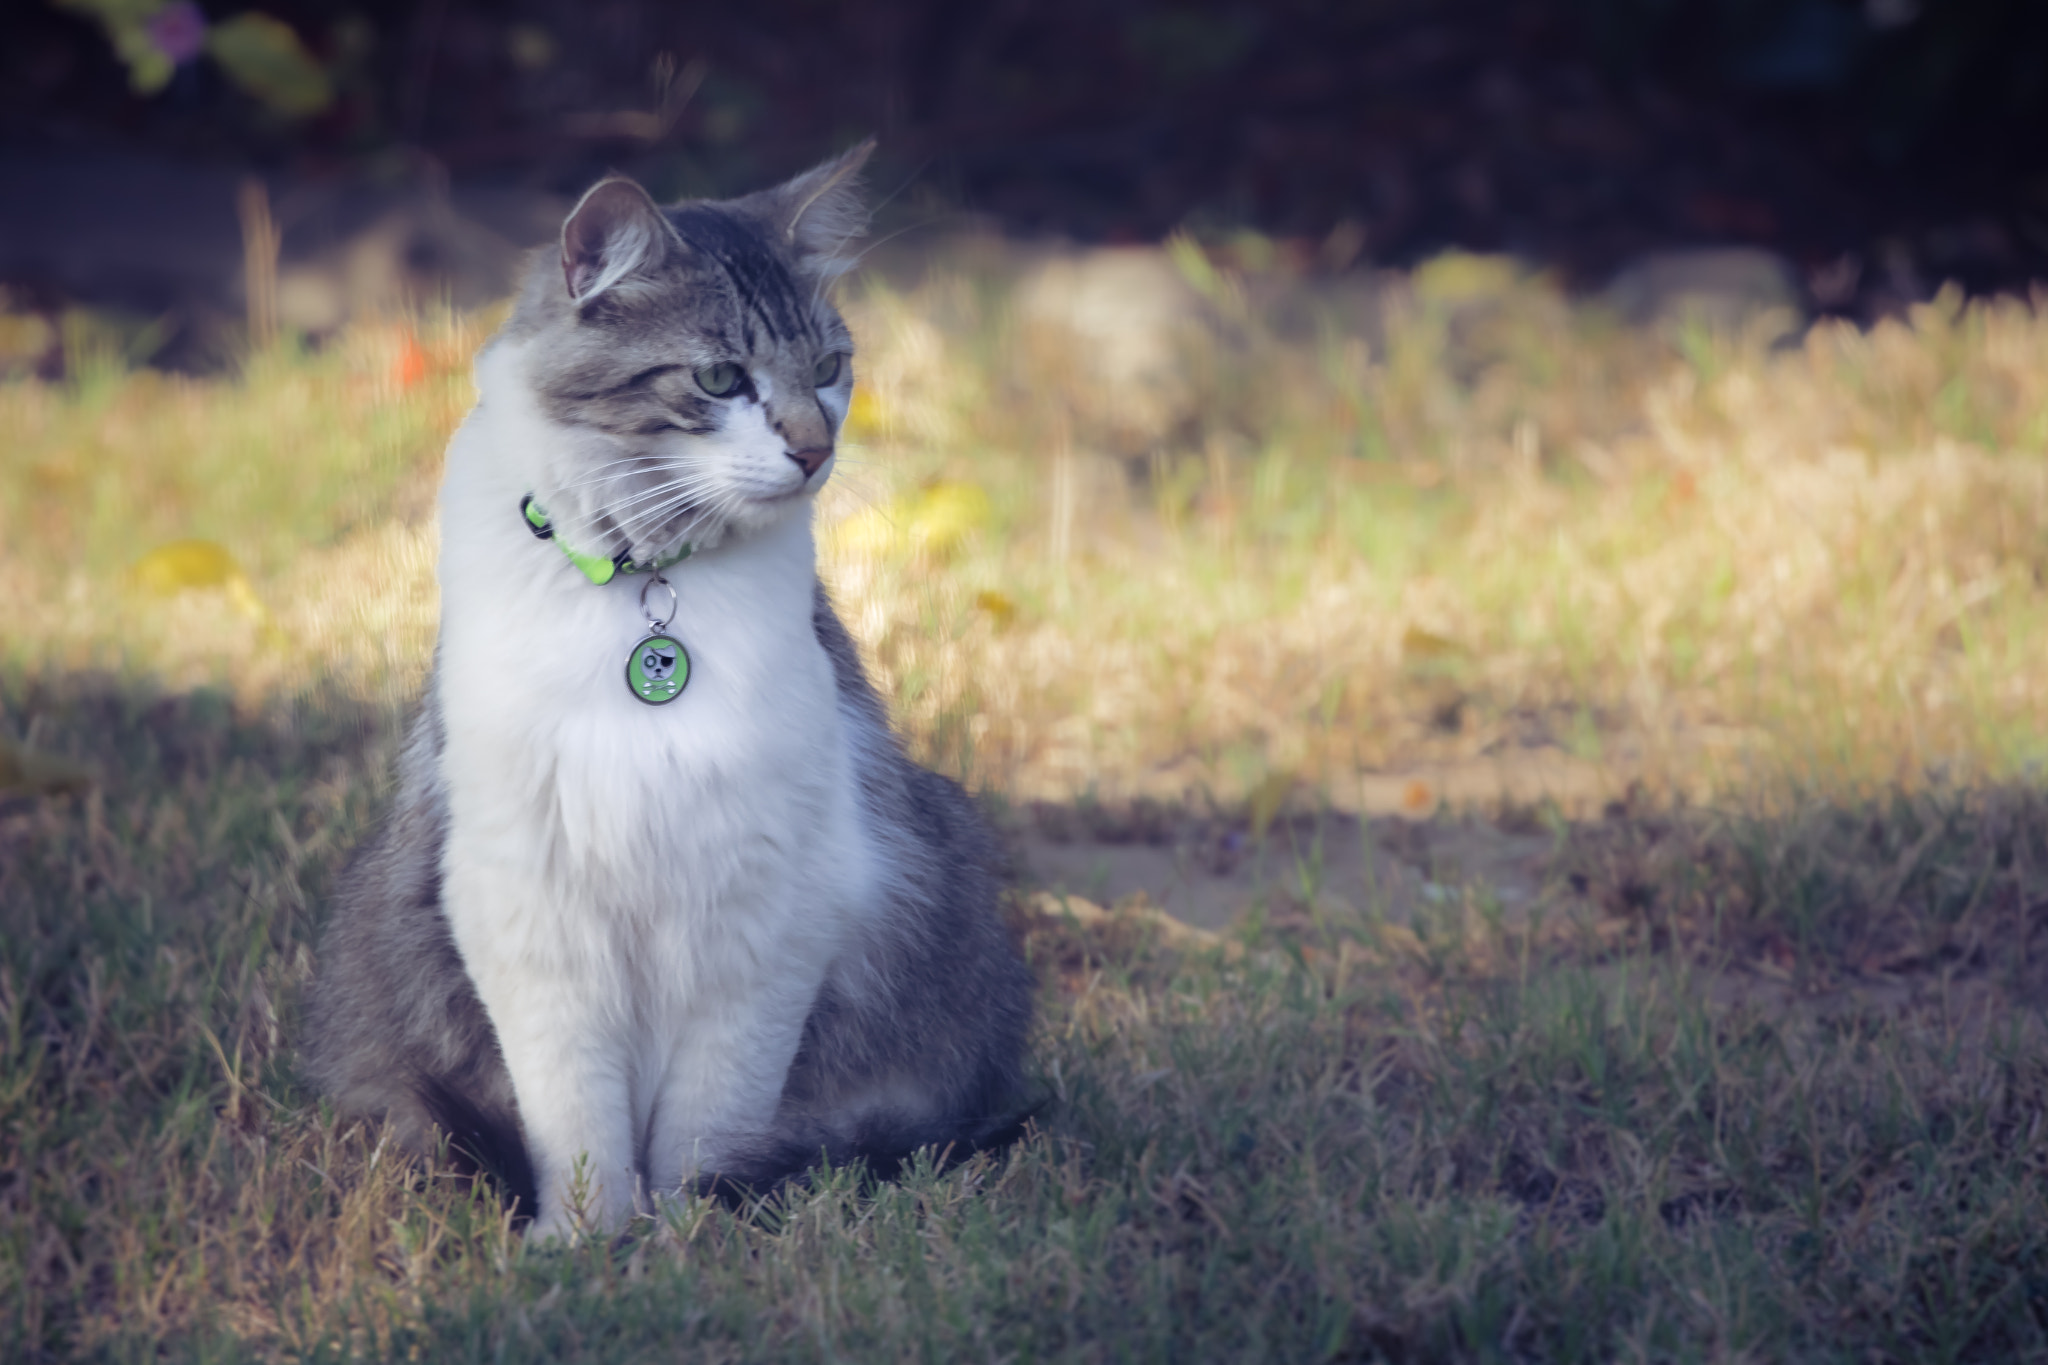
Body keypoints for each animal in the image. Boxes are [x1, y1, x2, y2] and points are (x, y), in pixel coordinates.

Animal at [299, 141, 1040, 1236]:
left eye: (829, 369)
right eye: (720, 377)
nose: (814, 450)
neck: (642, 583)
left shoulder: (768, 910)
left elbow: (708, 1122)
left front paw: (690, 1233)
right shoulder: (529, 904)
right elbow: (576, 1122)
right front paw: (583, 1241)